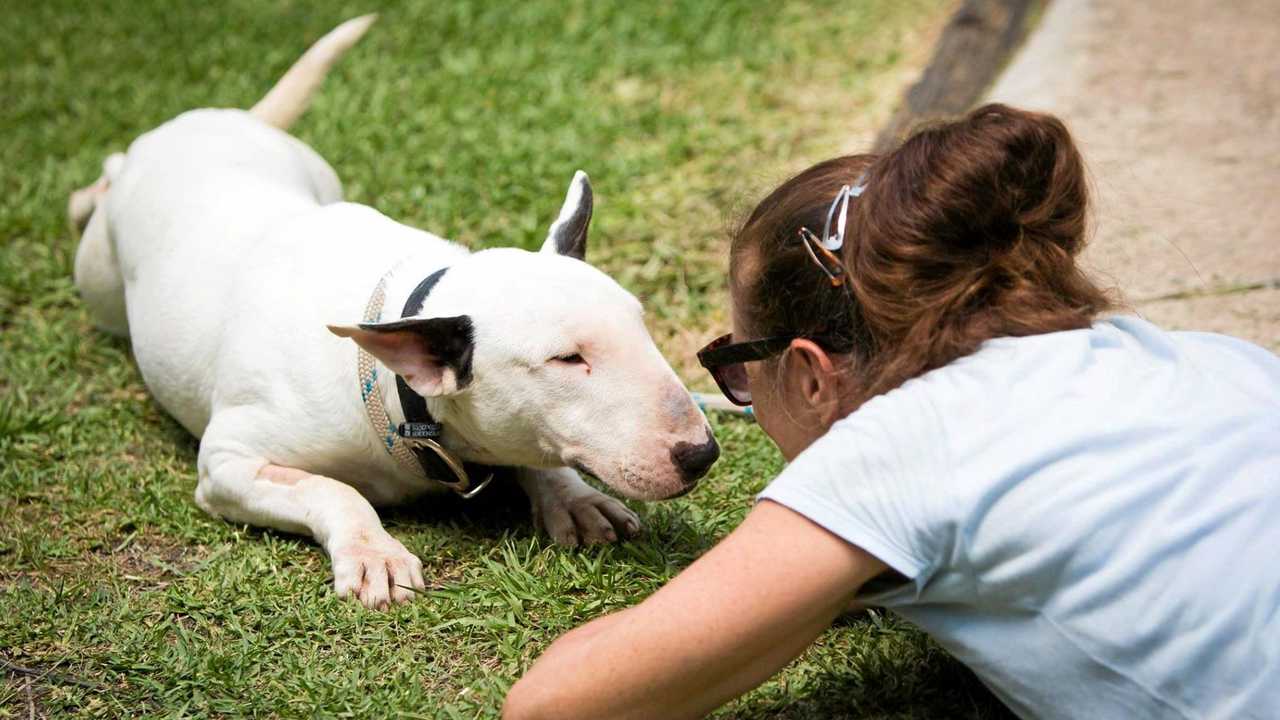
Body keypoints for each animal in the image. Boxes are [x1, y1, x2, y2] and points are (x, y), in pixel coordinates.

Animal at [67, 15, 721, 604]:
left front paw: (576, 498)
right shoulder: (229, 461)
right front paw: (374, 552)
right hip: (97, 274)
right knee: (107, 175)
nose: (702, 454)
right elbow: (332, 490)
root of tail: (217, 118)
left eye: (641, 326)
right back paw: (84, 195)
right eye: (567, 359)